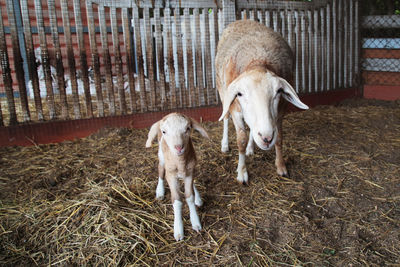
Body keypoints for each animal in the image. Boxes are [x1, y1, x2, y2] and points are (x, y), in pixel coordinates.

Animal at [146, 112, 209, 242]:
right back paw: (160, 191)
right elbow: (177, 200)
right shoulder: (171, 176)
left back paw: (198, 198)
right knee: (161, 170)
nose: (179, 147)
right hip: (161, 156)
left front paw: (195, 222)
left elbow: (189, 196)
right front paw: (178, 230)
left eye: (188, 128)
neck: (180, 163)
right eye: (164, 131)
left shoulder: (189, 172)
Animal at [216, 20, 310, 184]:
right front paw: (242, 172)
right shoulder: (235, 110)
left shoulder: (280, 112)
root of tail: (243, 19)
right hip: (222, 92)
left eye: (278, 92)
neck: (258, 62)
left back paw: (250, 148)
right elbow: (241, 140)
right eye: (239, 93)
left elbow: (279, 138)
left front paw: (281, 166)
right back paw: (225, 145)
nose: (266, 138)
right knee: (226, 117)